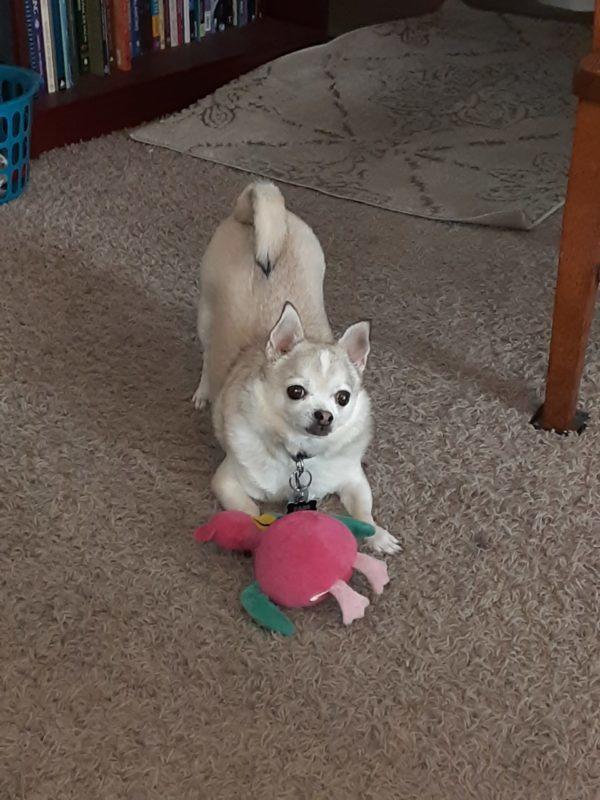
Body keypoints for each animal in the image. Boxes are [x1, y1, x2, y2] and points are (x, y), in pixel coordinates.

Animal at [192, 182, 398, 556]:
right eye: (296, 391)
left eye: (343, 398)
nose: (324, 415)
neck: (300, 455)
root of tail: (253, 211)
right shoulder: (227, 482)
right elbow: (249, 511)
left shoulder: (352, 477)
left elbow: (364, 509)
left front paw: (377, 535)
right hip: (206, 314)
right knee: (207, 355)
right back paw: (203, 391)